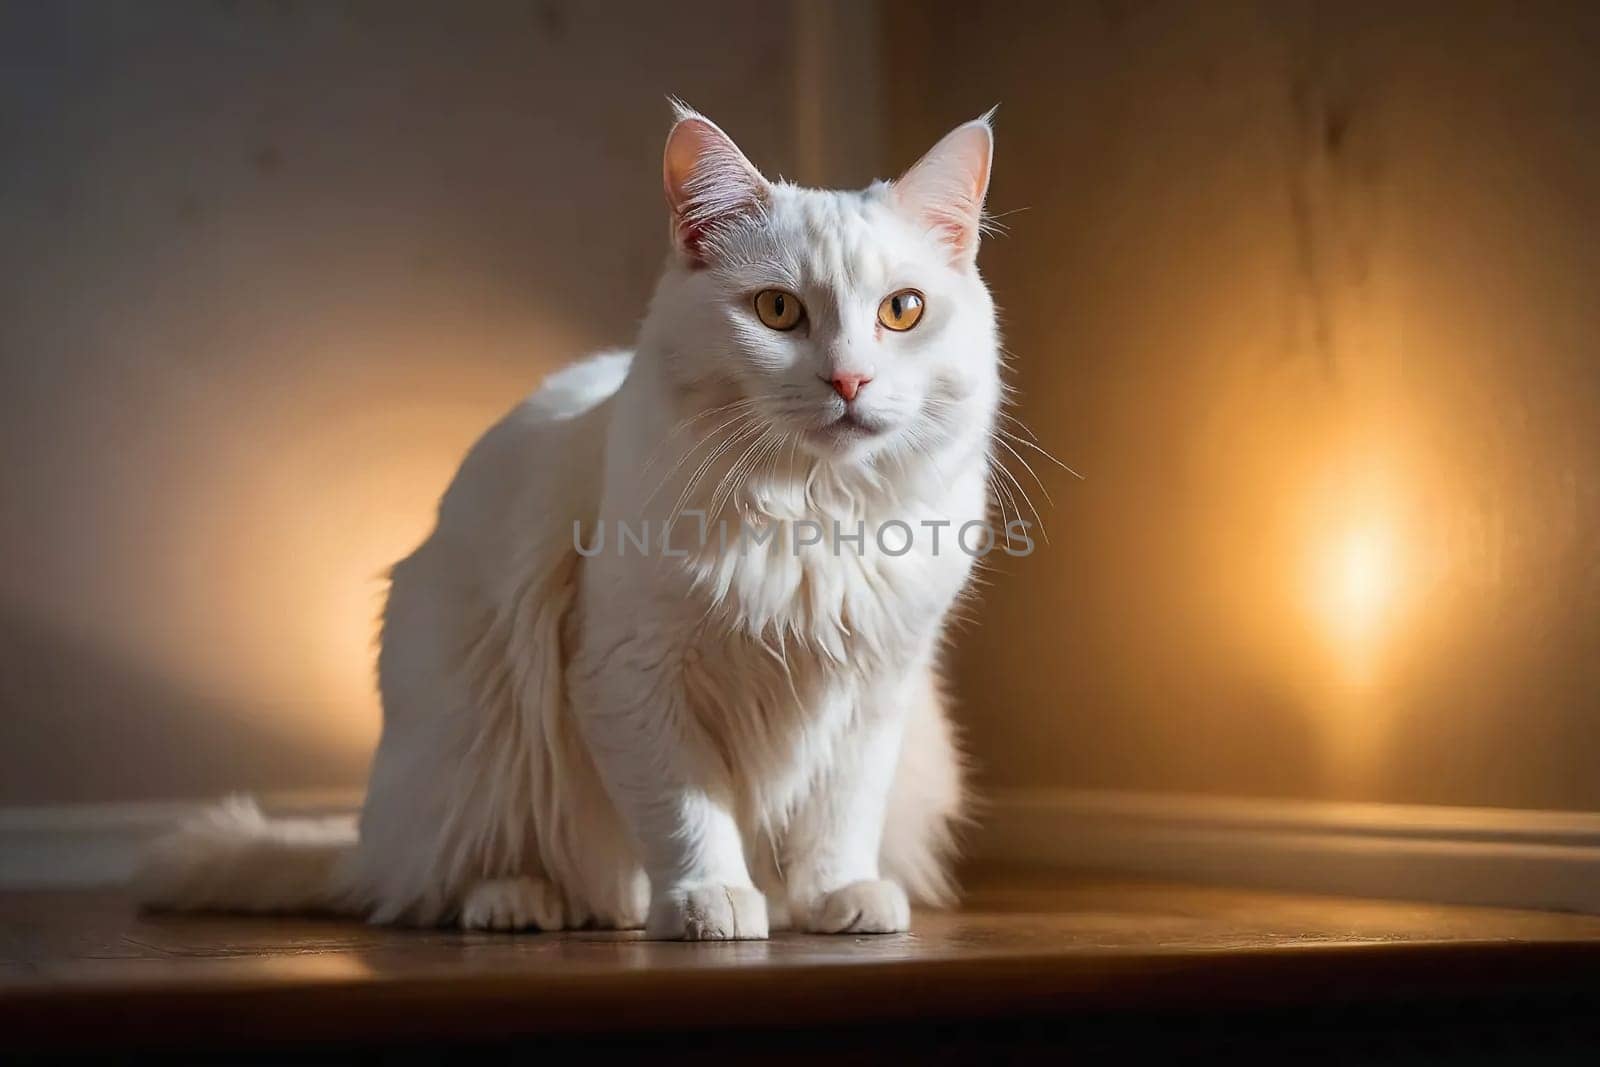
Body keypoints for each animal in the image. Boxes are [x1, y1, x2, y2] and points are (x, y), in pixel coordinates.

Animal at [144, 106, 1004, 940]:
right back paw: (534, 903)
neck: (815, 512)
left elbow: (840, 816)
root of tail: (367, 845)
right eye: (778, 310)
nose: (850, 379)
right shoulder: (629, 673)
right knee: (450, 880)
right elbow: (688, 814)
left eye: (902, 311)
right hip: (478, 734)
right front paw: (709, 900)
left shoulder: (874, 690)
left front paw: (836, 898)